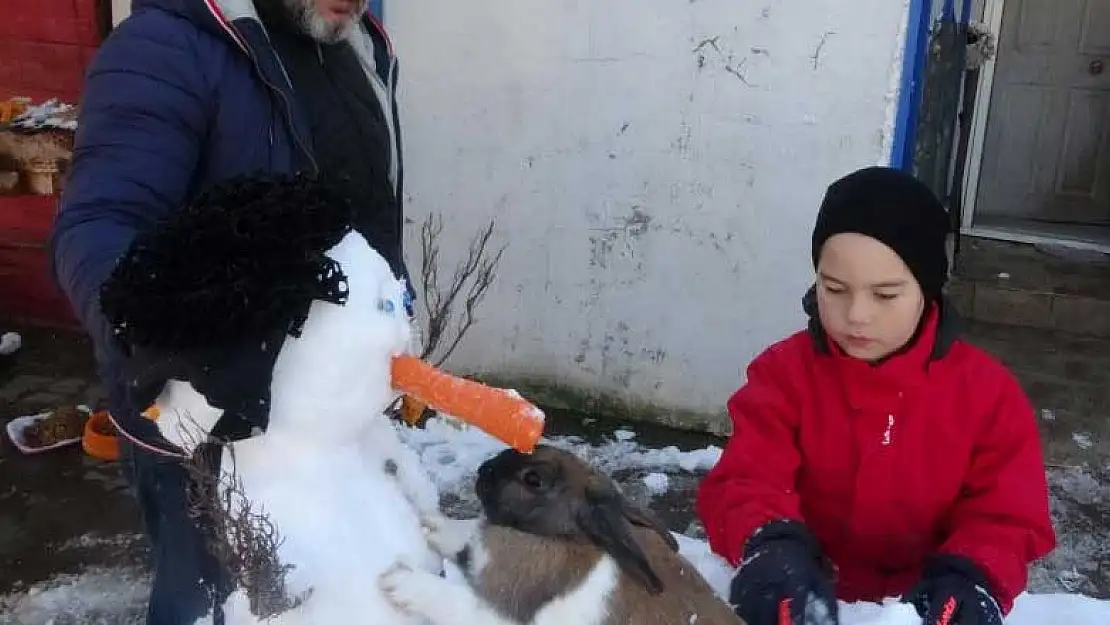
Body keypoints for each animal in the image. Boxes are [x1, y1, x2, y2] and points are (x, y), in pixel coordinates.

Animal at [377, 444, 750, 625]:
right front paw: (429, 523)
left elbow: (450, 600)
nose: (483, 470)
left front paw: (396, 581)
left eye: (533, 480)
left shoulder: (496, 613)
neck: (559, 538)